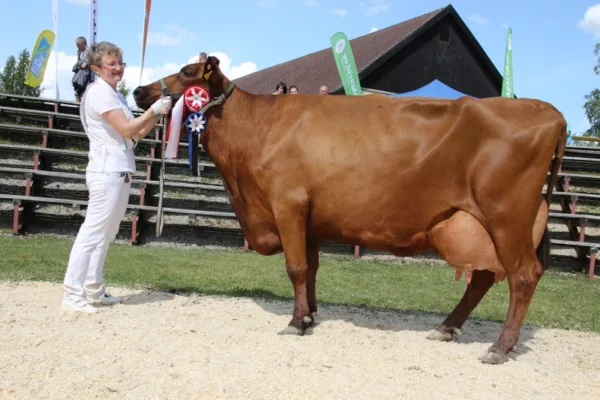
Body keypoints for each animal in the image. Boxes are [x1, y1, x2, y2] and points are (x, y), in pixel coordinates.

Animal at [132, 56, 568, 366]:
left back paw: (500, 348)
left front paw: (295, 323)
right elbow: (310, 268)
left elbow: (295, 267)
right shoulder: (307, 218)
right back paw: (447, 328)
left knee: (523, 275)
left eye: (188, 72)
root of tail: (549, 112)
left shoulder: (287, 205)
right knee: (483, 278)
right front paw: (309, 316)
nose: (137, 90)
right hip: (477, 222)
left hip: (506, 216)